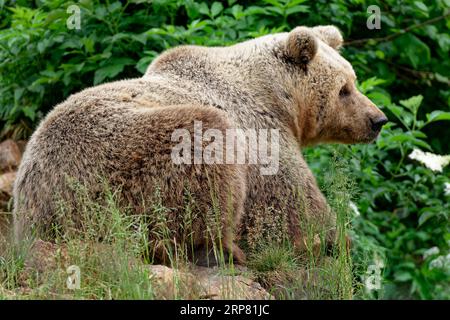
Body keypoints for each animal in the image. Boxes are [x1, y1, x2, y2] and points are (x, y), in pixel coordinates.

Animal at [12, 25, 384, 264]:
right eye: (344, 89)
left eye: (353, 81)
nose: (378, 120)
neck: (278, 98)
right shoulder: (259, 131)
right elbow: (291, 200)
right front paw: (332, 240)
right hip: (116, 161)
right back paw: (223, 250)